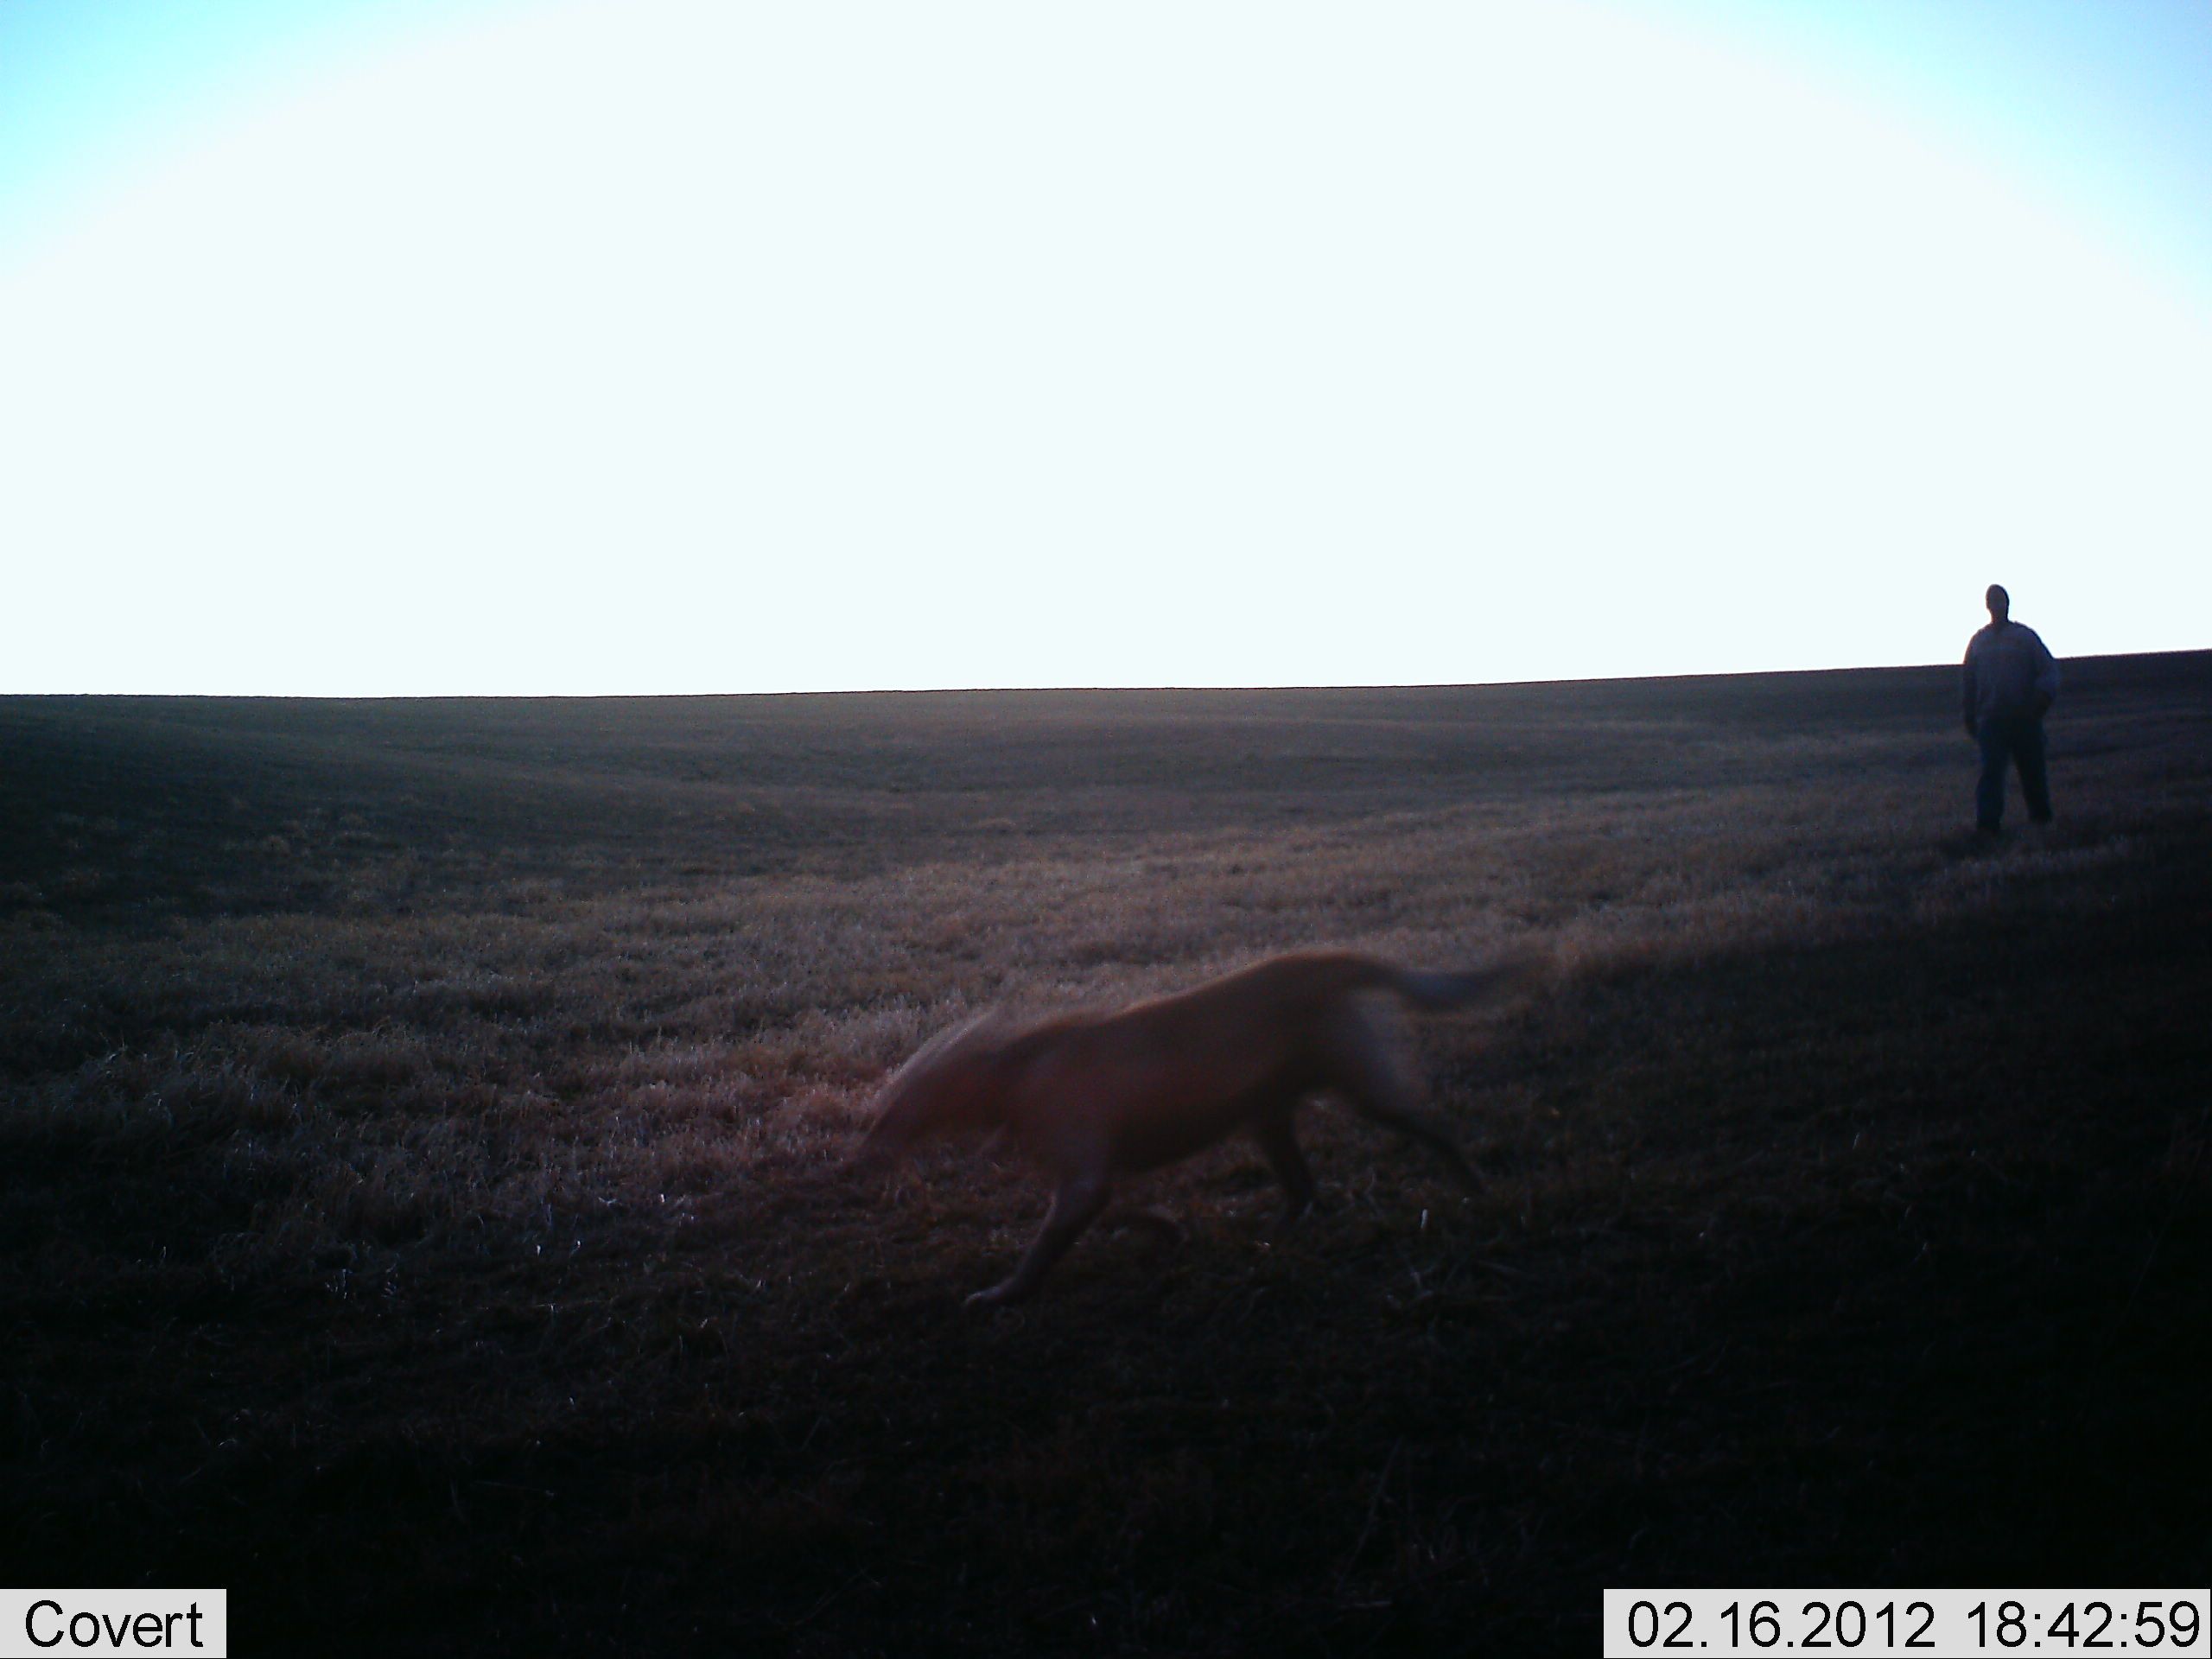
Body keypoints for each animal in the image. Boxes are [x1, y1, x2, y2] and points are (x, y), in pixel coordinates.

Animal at [858, 955, 1539, 1309]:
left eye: (884, 1117)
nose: (858, 1158)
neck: (1018, 1071)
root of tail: (1327, 962)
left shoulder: (1084, 1178)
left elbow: (1043, 1247)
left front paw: (1004, 1293)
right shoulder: (1091, 1179)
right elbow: (1120, 1214)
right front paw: (1169, 1232)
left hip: (1362, 1091)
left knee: (1433, 1128)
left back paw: (1474, 1188)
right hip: (1266, 1119)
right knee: (1304, 1189)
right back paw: (1269, 1237)